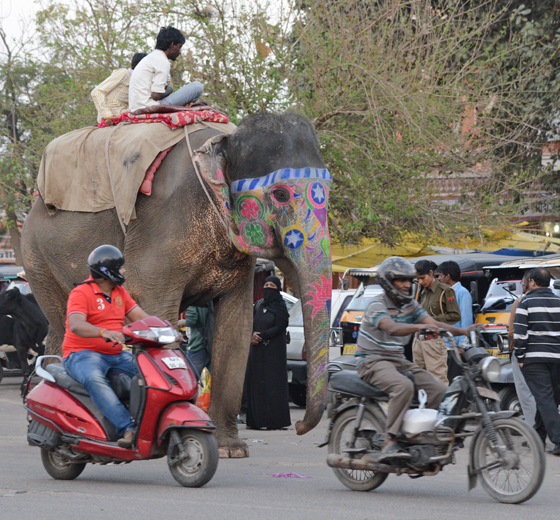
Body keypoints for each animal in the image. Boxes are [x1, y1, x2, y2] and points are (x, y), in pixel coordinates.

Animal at [21, 111, 332, 458]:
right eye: (280, 194)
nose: (301, 427)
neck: (224, 141)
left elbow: (237, 326)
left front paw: (230, 449)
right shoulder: (161, 228)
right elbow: (156, 310)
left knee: (57, 330)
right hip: (36, 254)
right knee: (63, 322)